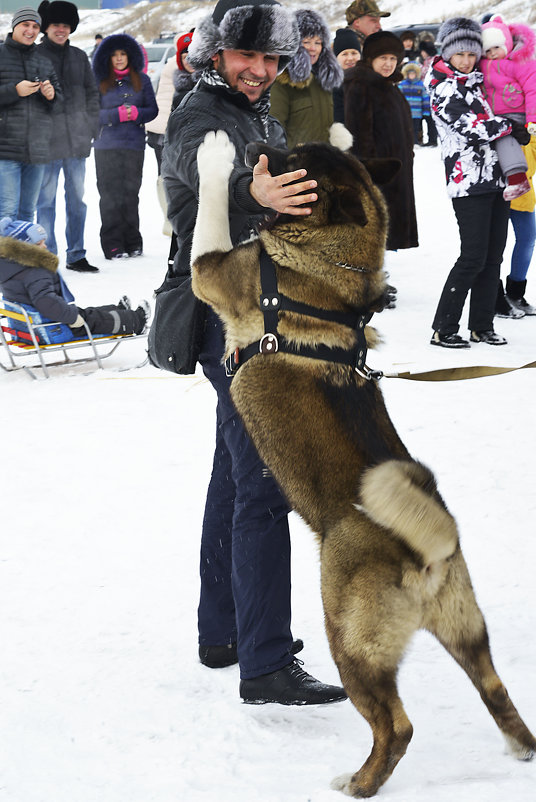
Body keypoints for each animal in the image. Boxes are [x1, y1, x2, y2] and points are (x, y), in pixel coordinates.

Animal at [191, 131, 532, 792]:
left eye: (294, 162)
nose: (260, 144)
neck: (330, 262)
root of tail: (425, 549)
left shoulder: (213, 272)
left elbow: (207, 213)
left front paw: (213, 156)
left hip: (351, 643)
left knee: (396, 728)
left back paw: (358, 783)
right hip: (466, 630)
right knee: (497, 692)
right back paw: (518, 751)